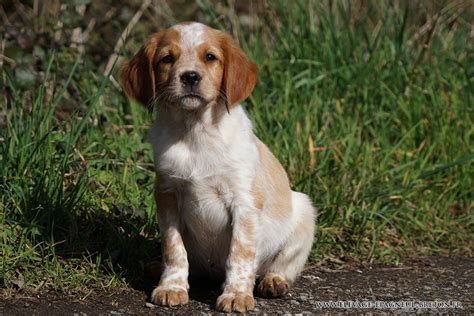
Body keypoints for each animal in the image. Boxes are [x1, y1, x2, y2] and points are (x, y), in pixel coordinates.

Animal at [121, 22, 314, 314]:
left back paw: (274, 281)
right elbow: (174, 249)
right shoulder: (167, 195)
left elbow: (240, 254)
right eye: (167, 59)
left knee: (283, 265)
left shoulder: (244, 202)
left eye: (210, 57)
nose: (190, 77)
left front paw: (236, 295)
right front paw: (172, 287)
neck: (196, 132)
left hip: (304, 212)